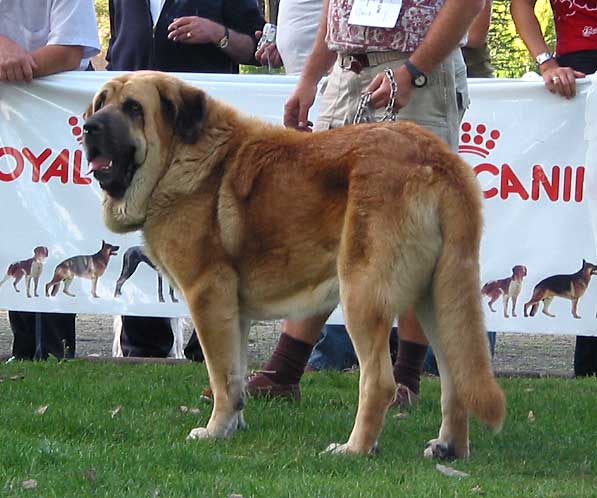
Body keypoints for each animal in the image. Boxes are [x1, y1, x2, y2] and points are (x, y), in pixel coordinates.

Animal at [82, 72, 502, 458]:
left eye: (133, 108)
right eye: (101, 102)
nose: (89, 127)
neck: (181, 157)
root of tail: (437, 157)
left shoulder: (208, 296)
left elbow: (221, 375)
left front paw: (215, 430)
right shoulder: (233, 310)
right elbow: (235, 372)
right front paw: (232, 425)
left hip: (362, 295)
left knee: (379, 382)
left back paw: (354, 449)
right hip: (438, 298)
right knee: (455, 377)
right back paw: (448, 447)